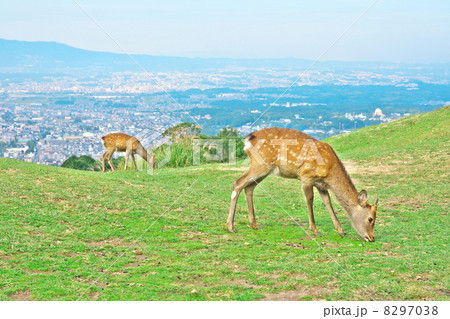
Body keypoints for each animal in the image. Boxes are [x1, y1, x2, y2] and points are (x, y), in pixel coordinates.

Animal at [227, 127, 378, 242]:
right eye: (370, 219)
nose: (372, 238)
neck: (330, 172)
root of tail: (247, 140)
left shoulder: (321, 185)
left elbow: (328, 202)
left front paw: (341, 231)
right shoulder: (307, 176)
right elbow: (309, 200)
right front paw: (315, 230)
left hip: (264, 169)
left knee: (249, 187)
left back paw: (253, 224)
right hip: (261, 164)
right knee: (238, 183)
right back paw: (230, 227)